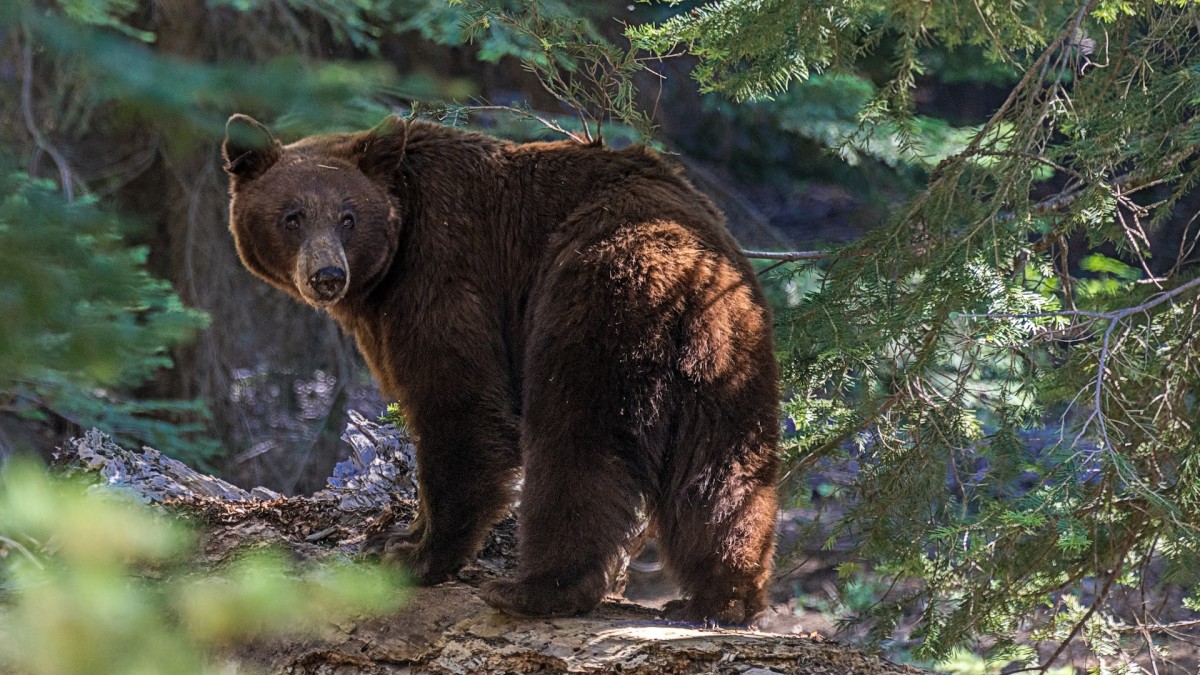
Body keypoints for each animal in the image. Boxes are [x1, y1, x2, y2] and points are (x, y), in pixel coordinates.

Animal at [223, 112, 787, 624]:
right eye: (292, 216)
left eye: (347, 217)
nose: (327, 275)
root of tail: (687, 275)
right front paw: (394, 536)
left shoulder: (444, 271)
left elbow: (459, 406)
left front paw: (419, 556)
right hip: (731, 357)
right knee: (724, 472)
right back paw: (721, 599)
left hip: (593, 307)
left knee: (577, 447)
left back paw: (536, 589)